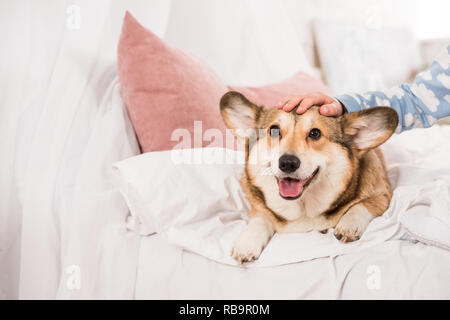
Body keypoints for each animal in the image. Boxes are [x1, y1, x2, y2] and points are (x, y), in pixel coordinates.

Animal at [220, 90, 400, 262]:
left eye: (315, 133)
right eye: (274, 130)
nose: (287, 163)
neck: (304, 208)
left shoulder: (383, 194)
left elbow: (362, 205)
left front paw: (348, 225)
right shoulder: (259, 207)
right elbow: (260, 219)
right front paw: (246, 243)